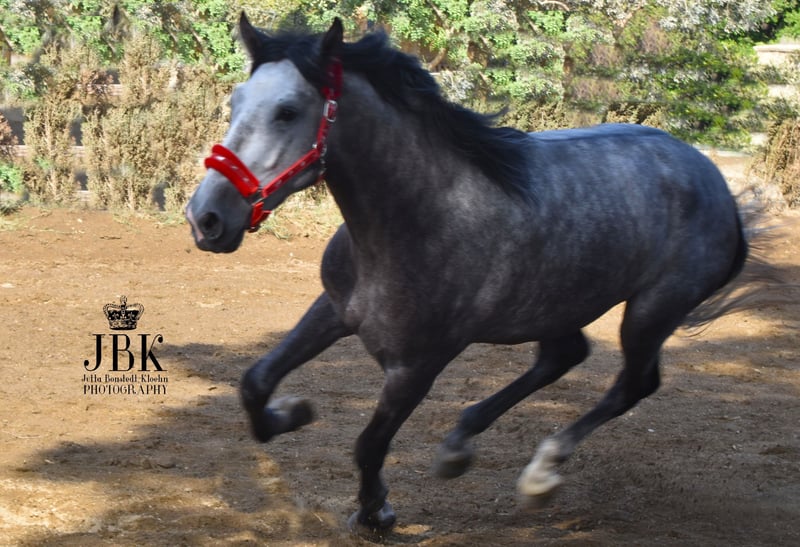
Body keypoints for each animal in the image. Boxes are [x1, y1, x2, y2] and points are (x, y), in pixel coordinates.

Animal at [186, 14, 760, 538]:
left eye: (287, 111)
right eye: (236, 102)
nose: (206, 218)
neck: (419, 216)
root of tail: (715, 182)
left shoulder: (418, 364)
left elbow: (369, 444)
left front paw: (377, 514)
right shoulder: (333, 311)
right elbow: (255, 382)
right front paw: (295, 413)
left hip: (651, 310)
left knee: (634, 383)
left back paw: (540, 474)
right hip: (558, 303)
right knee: (564, 357)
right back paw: (459, 446)